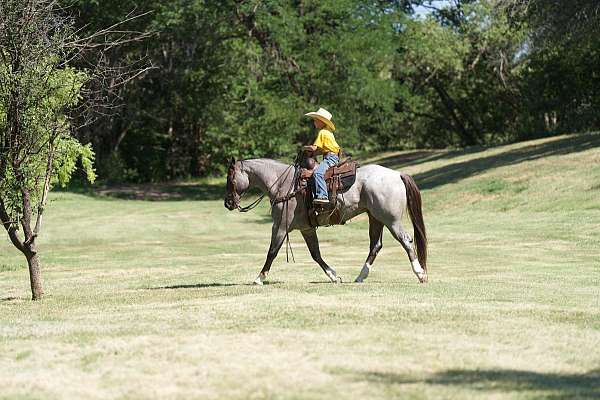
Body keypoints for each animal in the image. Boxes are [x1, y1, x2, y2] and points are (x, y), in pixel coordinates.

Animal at [225, 156, 426, 284]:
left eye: (230, 179)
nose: (228, 203)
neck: (283, 184)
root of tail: (397, 174)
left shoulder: (280, 227)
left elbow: (272, 252)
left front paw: (259, 278)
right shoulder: (306, 229)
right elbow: (316, 254)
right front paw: (334, 276)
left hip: (391, 220)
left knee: (406, 240)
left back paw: (420, 273)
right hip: (375, 218)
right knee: (375, 246)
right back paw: (360, 276)